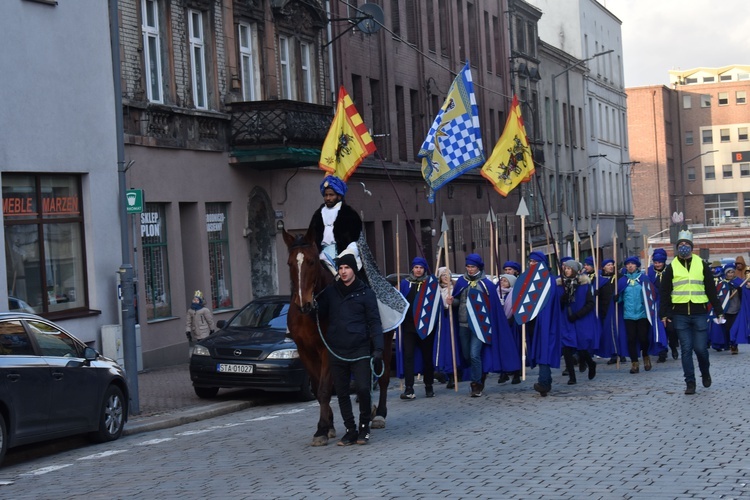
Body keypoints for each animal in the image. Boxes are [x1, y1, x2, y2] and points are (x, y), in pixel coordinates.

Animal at [284, 229, 396, 448]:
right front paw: (328, 426)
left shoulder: (328, 351)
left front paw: (321, 430)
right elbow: (318, 389)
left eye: (311, 262)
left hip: (385, 344)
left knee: (384, 377)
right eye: (290, 263)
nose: (304, 304)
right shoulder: (305, 352)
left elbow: (324, 389)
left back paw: (379, 415)